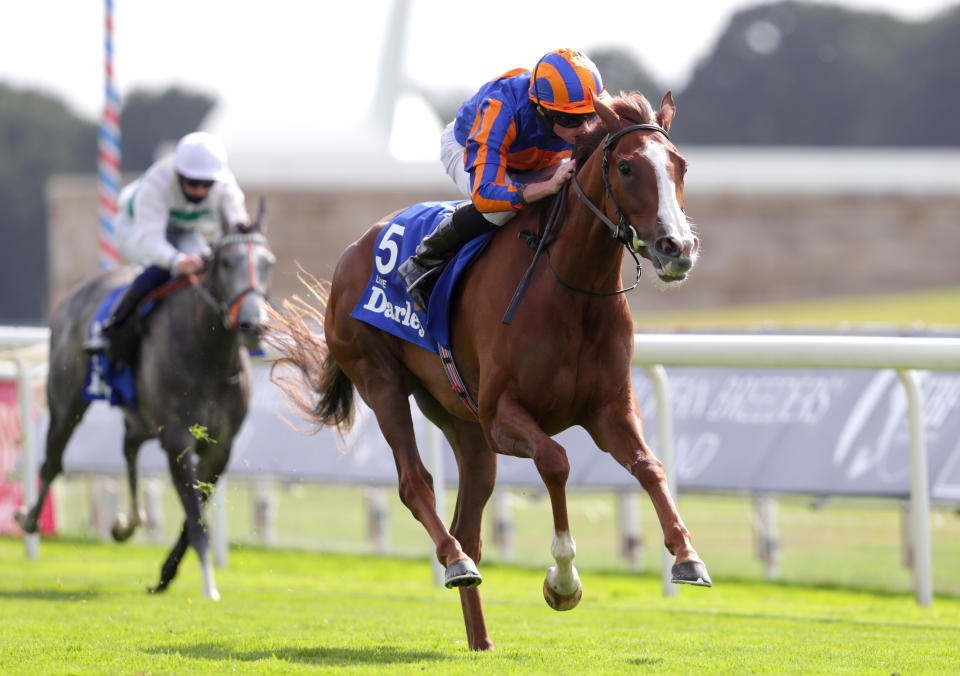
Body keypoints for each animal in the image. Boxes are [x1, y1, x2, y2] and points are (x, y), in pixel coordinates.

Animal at [16, 209, 276, 600]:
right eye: (227, 262)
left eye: (268, 263)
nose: (252, 325)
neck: (208, 355)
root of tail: (79, 290)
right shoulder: (178, 438)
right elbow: (195, 516)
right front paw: (209, 586)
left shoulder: (221, 446)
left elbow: (194, 514)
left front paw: (167, 574)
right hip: (66, 399)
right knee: (53, 461)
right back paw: (29, 518)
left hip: (140, 417)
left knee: (128, 447)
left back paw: (127, 522)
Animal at [266, 91, 708, 648]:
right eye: (627, 166)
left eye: (680, 165)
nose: (678, 247)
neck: (572, 290)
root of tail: (352, 252)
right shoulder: (502, 416)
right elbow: (556, 460)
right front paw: (563, 580)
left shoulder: (609, 408)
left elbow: (650, 466)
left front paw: (688, 557)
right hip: (380, 380)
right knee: (417, 485)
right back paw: (453, 563)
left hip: (463, 423)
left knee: (469, 526)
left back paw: (480, 635)